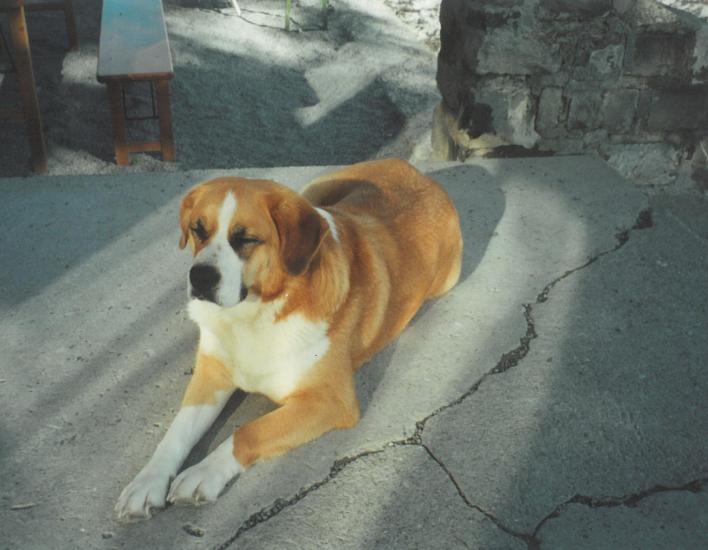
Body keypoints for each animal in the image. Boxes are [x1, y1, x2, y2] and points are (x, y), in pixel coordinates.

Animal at [113, 158, 462, 520]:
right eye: (198, 230)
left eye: (246, 238)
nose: (200, 278)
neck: (253, 314)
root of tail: (419, 173)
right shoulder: (211, 375)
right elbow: (177, 432)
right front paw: (147, 482)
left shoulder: (328, 401)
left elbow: (247, 431)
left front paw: (203, 473)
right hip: (314, 192)